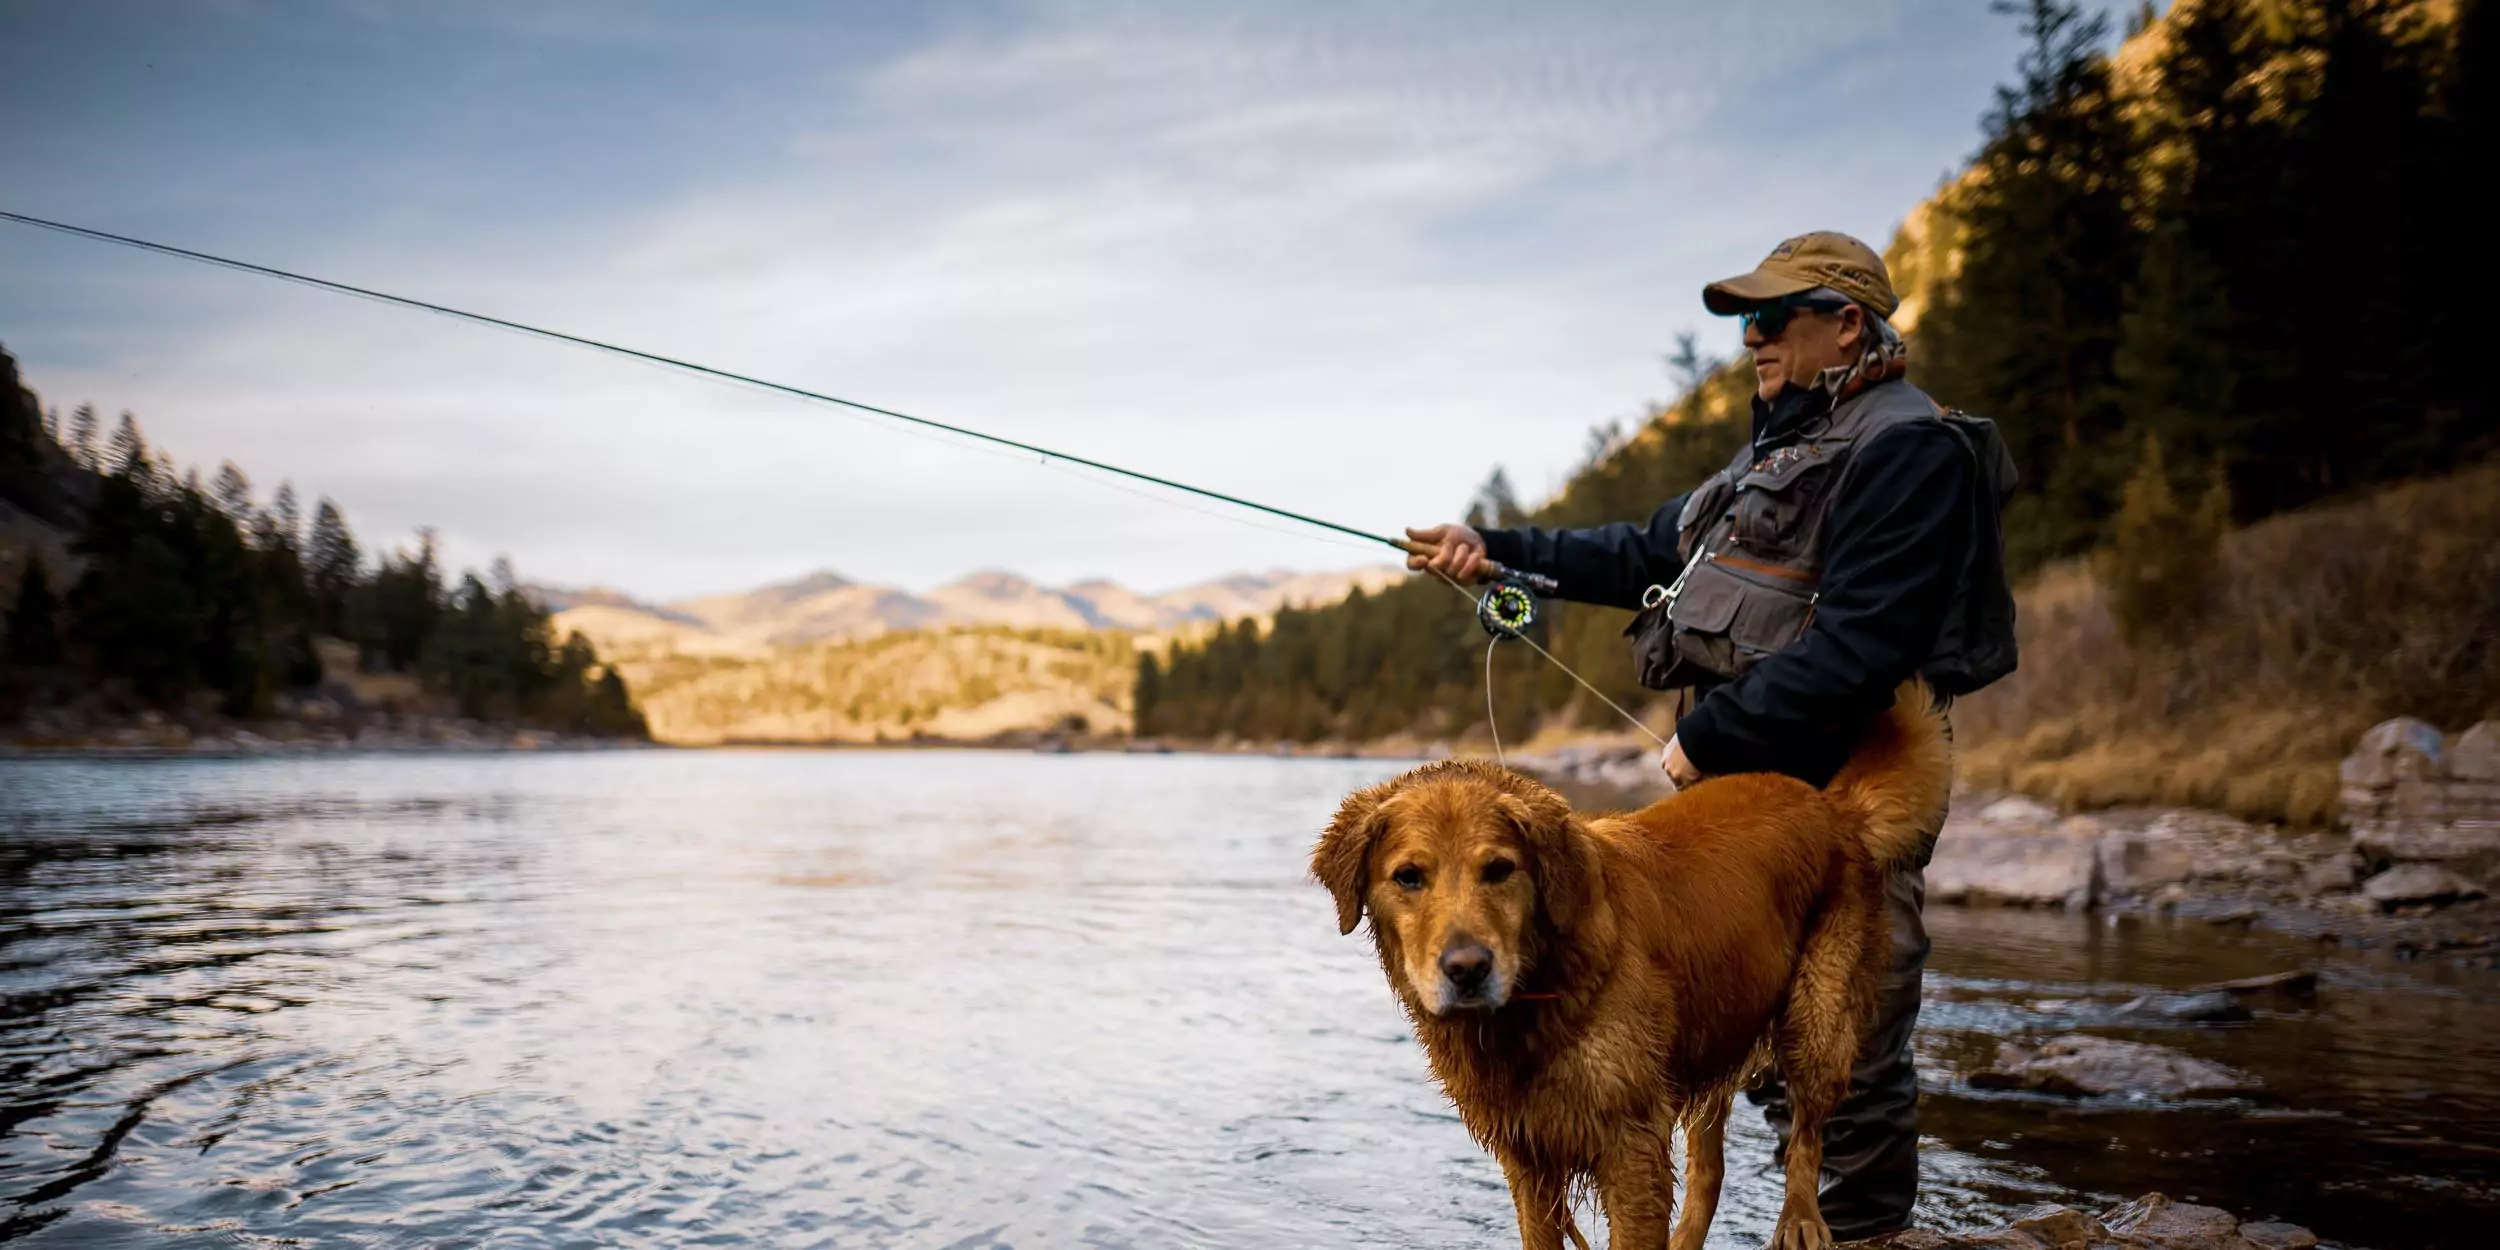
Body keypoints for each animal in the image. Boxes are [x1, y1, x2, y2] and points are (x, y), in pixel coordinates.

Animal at [1310, 685, 1950, 1250]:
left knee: (1808, 1133)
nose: (1467, 969)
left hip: (1817, 1012)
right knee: (1711, 1168)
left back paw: (1800, 1220)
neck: (1541, 987)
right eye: (1408, 877)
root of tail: (1830, 804)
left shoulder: (1630, 1141)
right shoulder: (1529, 1153)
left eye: (1499, 869)